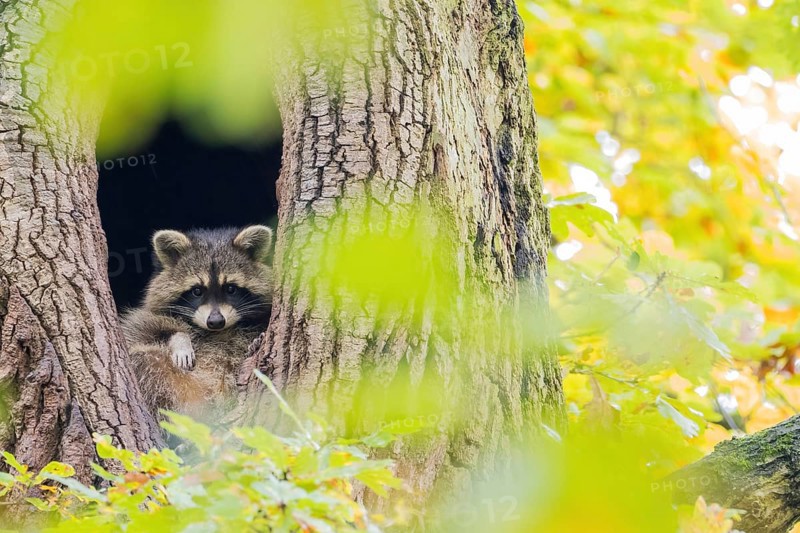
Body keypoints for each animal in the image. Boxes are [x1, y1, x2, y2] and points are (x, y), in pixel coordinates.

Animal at [122, 225, 273, 421]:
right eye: (197, 291)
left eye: (231, 289)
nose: (216, 322)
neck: (219, 332)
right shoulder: (147, 317)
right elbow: (140, 328)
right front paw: (180, 339)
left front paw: (255, 341)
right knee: (144, 360)